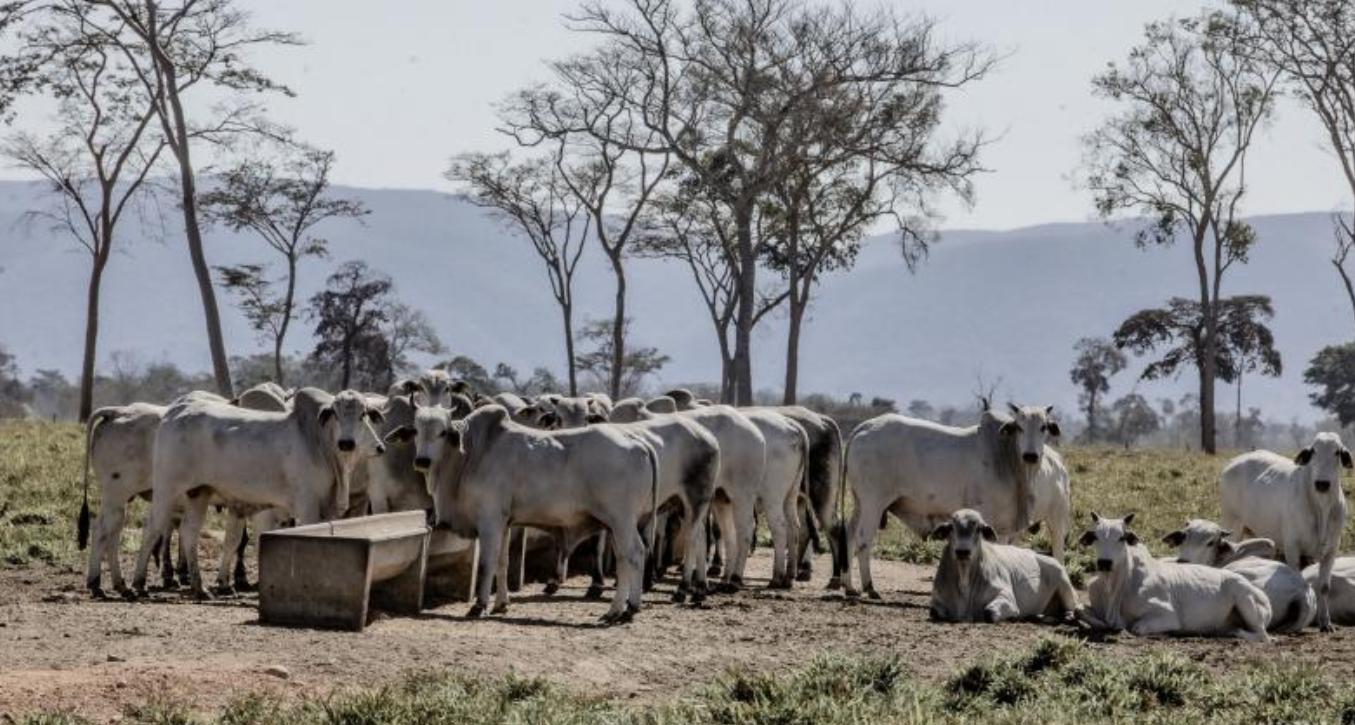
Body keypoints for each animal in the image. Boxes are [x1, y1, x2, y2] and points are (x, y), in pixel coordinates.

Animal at [130, 387, 387, 598]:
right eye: (335, 412)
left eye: (363, 414)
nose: (347, 443)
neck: (319, 444)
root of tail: (174, 412)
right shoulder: (307, 506)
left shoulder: (329, 509)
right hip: (167, 489)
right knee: (152, 528)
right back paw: (138, 585)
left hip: (198, 493)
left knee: (189, 532)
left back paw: (199, 588)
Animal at [926, 509, 1073, 623]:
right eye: (951, 527)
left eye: (978, 529)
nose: (962, 551)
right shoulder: (937, 601)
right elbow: (933, 612)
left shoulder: (1007, 597)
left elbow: (989, 612)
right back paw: (1038, 615)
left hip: (1064, 585)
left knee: (1072, 607)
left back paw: (1067, 616)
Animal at [1078, 512, 1268, 645]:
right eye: (1095, 537)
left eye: (1122, 537)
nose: (1104, 563)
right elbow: (1080, 610)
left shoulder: (1167, 615)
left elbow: (1136, 627)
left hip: (1244, 599)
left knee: (1263, 636)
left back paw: (1233, 632)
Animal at [1214, 433, 1349, 631]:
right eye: (1313, 451)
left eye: (1337, 452)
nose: (1322, 484)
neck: (1321, 508)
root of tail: (1234, 462)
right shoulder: (1292, 547)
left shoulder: (1331, 549)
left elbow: (1324, 586)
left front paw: (1326, 622)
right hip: (1233, 524)